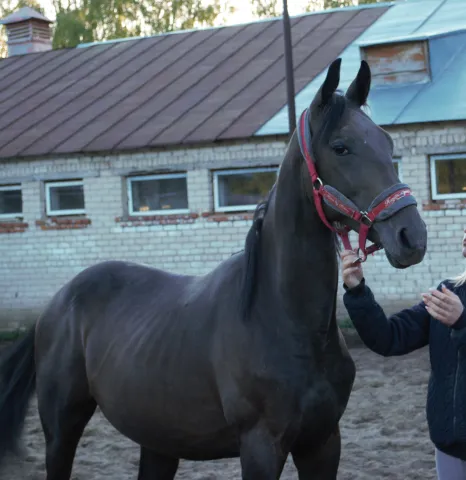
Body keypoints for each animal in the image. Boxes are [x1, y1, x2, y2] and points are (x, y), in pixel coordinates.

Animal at [0, 58, 427, 479]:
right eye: (341, 147)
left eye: (387, 143)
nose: (412, 236)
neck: (281, 316)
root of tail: (57, 303)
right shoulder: (260, 447)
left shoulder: (322, 443)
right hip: (62, 430)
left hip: (158, 441)